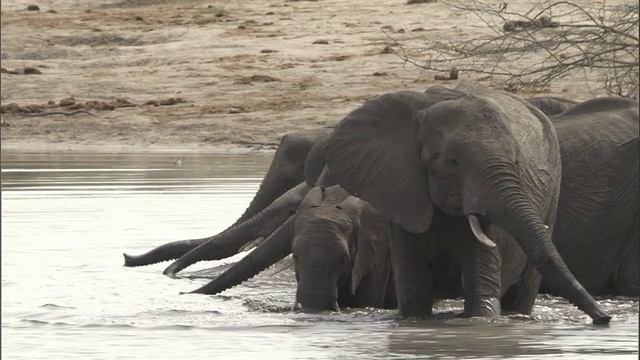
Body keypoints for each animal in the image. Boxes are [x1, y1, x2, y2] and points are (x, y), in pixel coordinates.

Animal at [320, 81, 608, 324]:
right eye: (451, 161)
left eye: (517, 161)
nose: (604, 319)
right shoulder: (403, 196)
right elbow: (414, 293)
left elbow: (481, 287)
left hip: (555, 183)